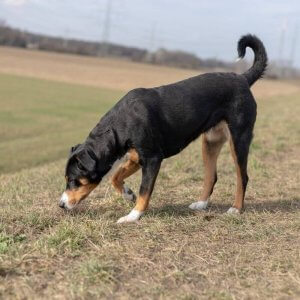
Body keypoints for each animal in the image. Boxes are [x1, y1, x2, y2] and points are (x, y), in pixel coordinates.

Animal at [59, 34, 268, 223]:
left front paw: (133, 216)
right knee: (211, 176)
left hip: (239, 139)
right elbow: (115, 177)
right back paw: (201, 204)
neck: (120, 125)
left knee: (243, 177)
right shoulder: (135, 157)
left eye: (73, 180)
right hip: (210, 142)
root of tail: (242, 78)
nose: (60, 204)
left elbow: (144, 191)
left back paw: (235, 209)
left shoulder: (152, 159)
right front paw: (128, 194)